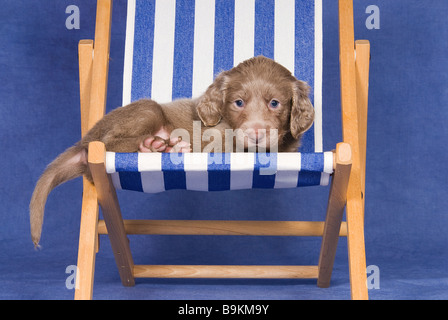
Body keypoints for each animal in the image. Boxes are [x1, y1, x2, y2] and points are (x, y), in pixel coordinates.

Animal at [29, 55, 314, 246]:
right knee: (109, 142)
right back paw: (155, 145)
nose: (256, 133)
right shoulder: (215, 139)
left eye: (275, 103)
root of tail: (84, 139)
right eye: (238, 103)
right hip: (145, 111)